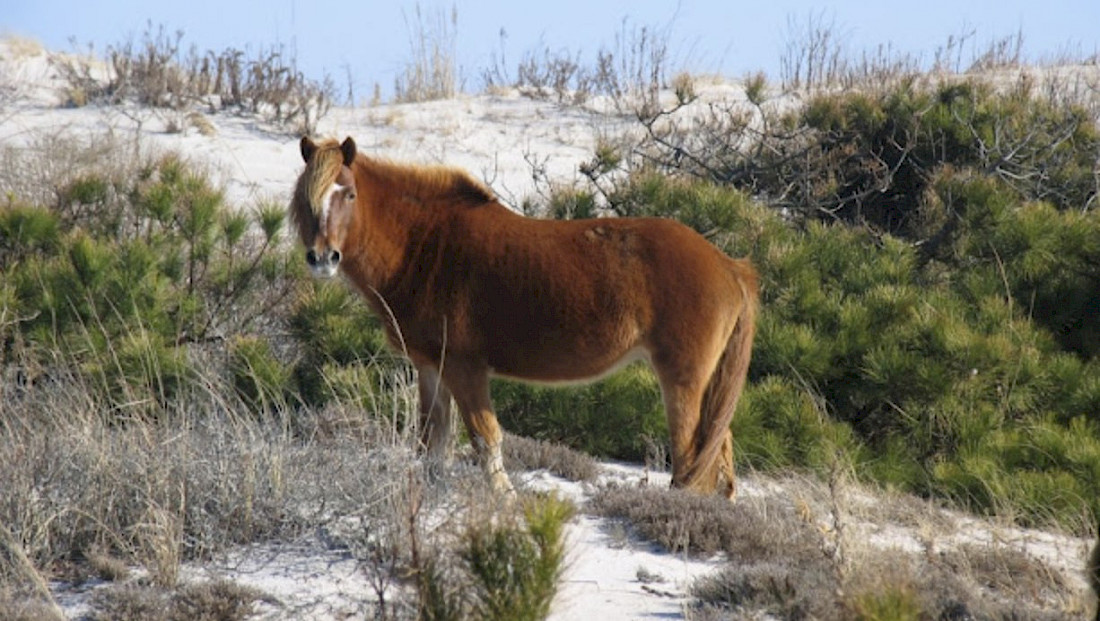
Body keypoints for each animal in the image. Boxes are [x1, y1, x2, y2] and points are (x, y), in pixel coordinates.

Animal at [288, 137, 761, 496]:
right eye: (307, 200)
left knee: (692, 461)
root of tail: (729, 266)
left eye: (349, 193)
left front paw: (504, 502)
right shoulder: (431, 368)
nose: (322, 258)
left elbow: (485, 439)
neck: (425, 246)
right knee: (720, 454)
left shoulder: (465, 368)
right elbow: (431, 445)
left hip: (683, 380)